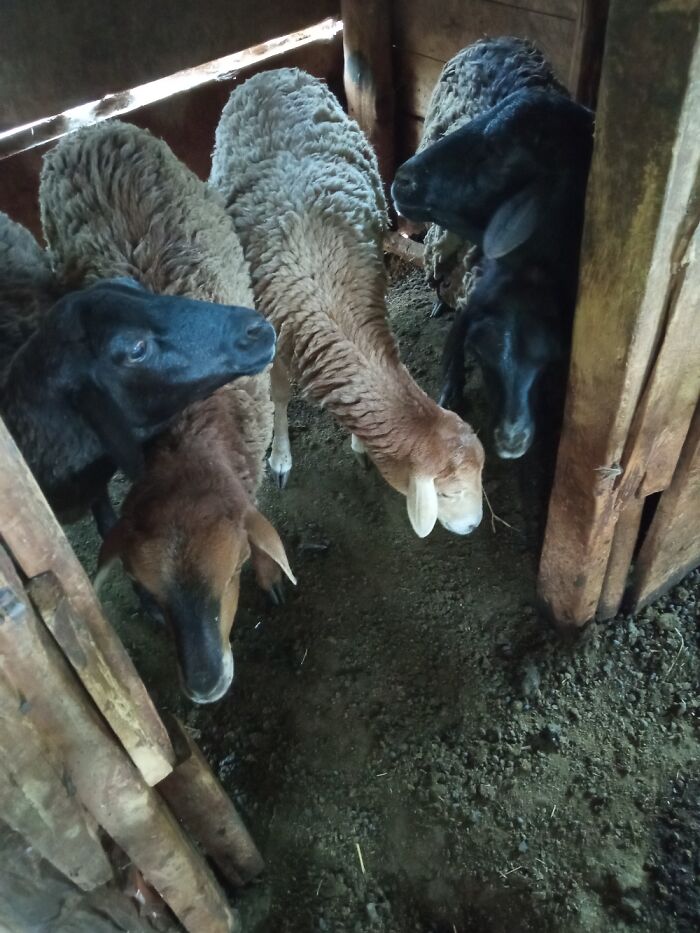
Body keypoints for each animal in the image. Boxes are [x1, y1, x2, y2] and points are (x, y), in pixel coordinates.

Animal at [40, 121, 294, 704]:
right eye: (150, 589)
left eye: (235, 572)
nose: (204, 686)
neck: (188, 431)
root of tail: (88, 126)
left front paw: (271, 577)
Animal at [210, 67, 484, 538]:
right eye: (448, 494)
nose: (472, 528)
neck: (329, 297)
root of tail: (273, 71)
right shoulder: (277, 329)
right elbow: (279, 393)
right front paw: (279, 458)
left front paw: (358, 442)